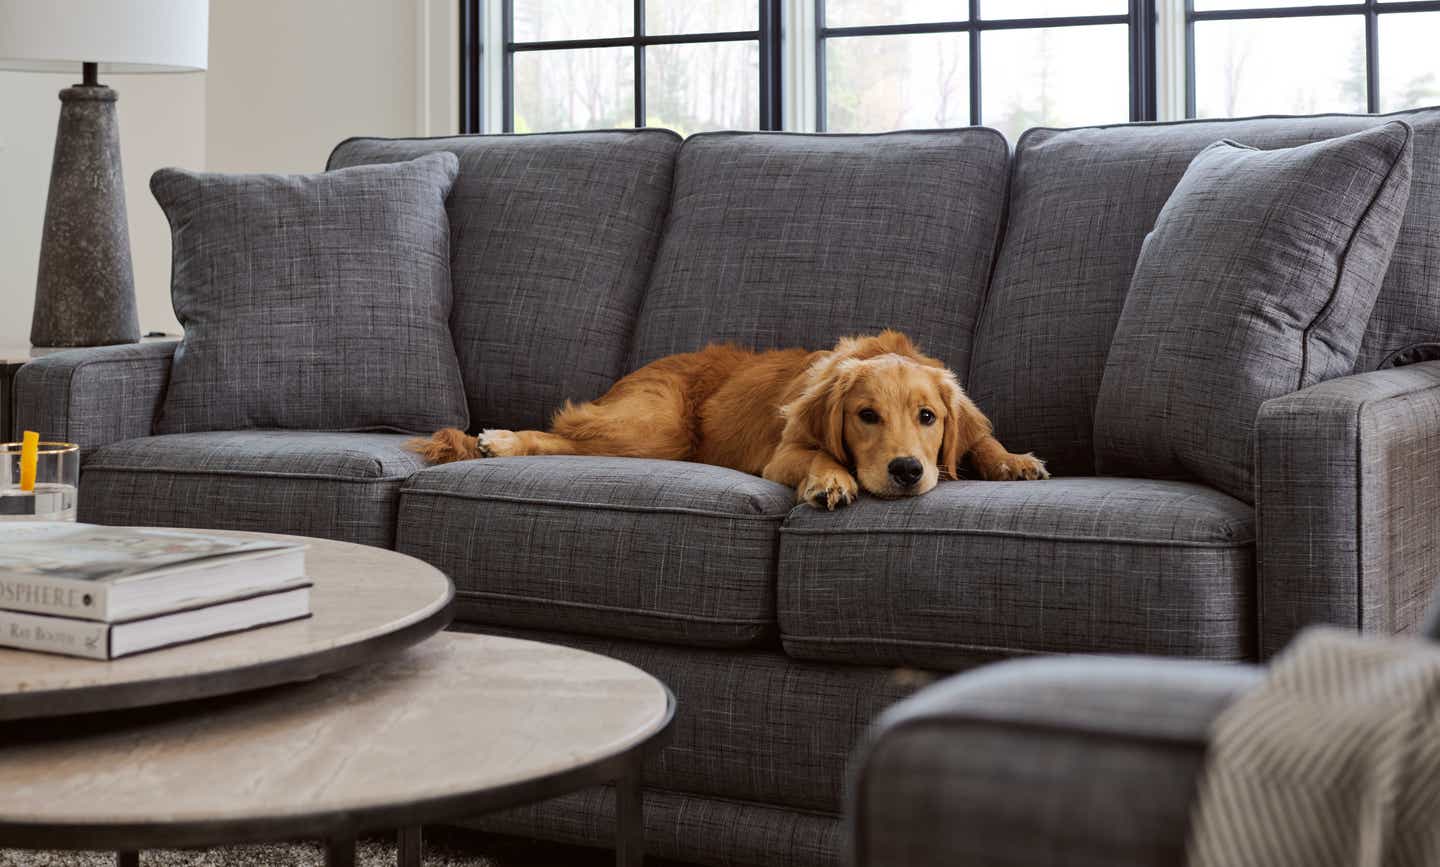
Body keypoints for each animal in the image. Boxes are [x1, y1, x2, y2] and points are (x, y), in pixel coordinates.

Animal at [408, 329, 1048, 506]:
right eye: (866, 416)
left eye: (927, 416)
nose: (907, 471)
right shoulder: (783, 452)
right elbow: (818, 453)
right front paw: (832, 480)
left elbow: (978, 440)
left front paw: (1011, 460)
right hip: (655, 430)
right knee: (564, 433)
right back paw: (499, 440)